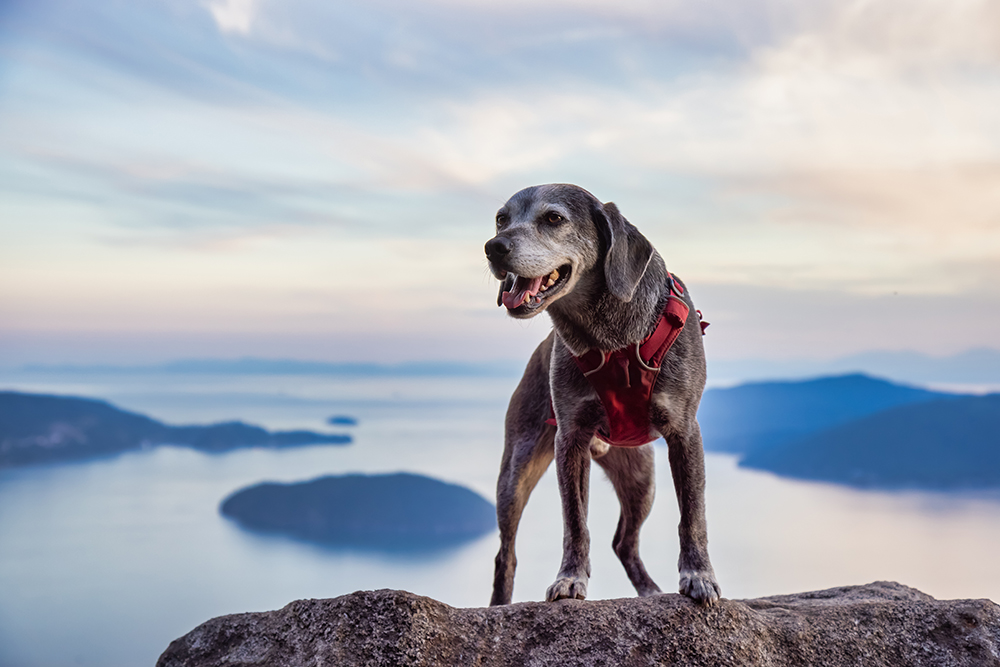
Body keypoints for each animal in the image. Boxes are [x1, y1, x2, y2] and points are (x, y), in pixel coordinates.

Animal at [482, 181, 720, 604]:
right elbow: (575, 522)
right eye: (501, 219)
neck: (612, 338)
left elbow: (692, 515)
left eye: (554, 218)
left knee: (624, 542)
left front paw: (698, 575)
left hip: (641, 477)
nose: (494, 247)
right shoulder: (571, 440)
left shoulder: (684, 432)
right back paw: (498, 604)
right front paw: (570, 578)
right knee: (505, 554)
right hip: (516, 471)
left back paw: (650, 590)